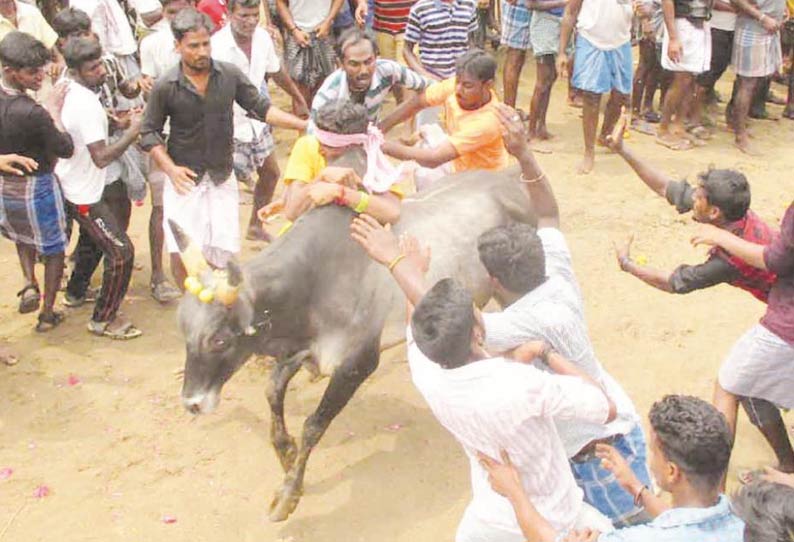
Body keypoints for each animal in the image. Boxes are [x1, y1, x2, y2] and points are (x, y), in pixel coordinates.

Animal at [173, 160, 532, 524]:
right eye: (184, 329)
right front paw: (286, 452)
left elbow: (314, 424)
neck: (311, 283)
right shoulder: (299, 350)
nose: (192, 403)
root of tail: (507, 180)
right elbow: (272, 392)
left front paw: (288, 495)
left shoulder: (358, 362)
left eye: (219, 339)